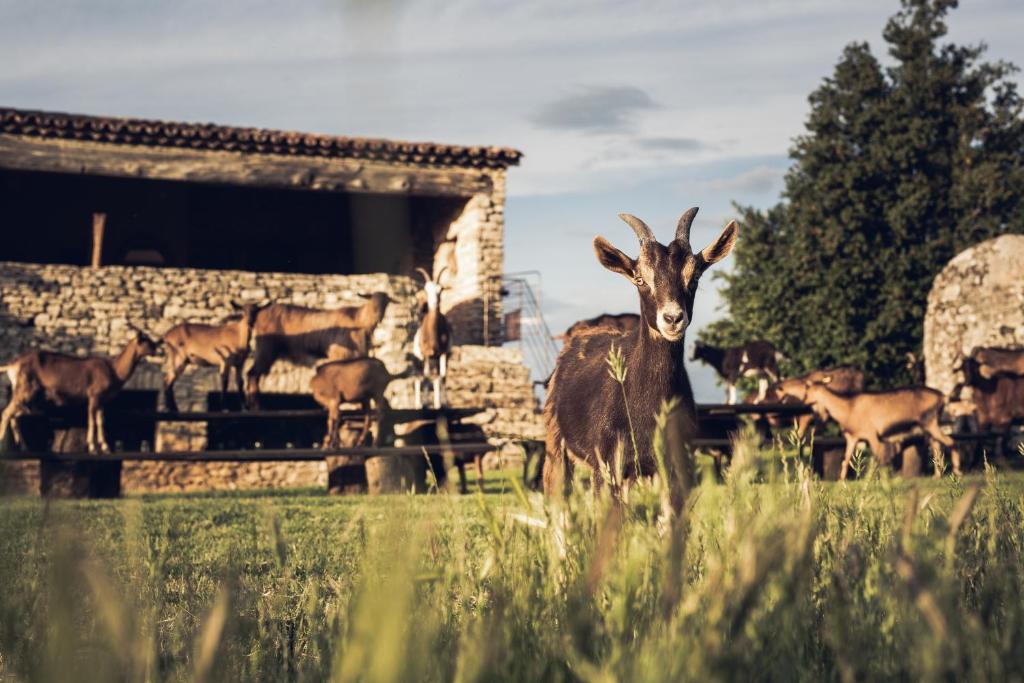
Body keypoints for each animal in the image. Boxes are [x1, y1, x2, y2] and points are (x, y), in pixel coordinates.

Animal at [0, 331, 157, 454]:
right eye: (147, 341)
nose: (157, 348)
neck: (115, 371)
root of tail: (12, 366)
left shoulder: (101, 400)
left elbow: (100, 421)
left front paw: (105, 447)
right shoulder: (93, 395)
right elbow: (92, 420)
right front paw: (93, 447)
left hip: (29, 397)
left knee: (15, 416)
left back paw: (23, 447)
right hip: (25, 389)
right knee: (6, 413)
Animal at [245, 292, 389, 409]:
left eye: (386, 302)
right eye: (372, 300)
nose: (379, 316)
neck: (359, 321)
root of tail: (260, 313)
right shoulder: (339, 354)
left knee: (253, 374)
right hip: (266, 348)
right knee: (252, 373)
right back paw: (255, 406)